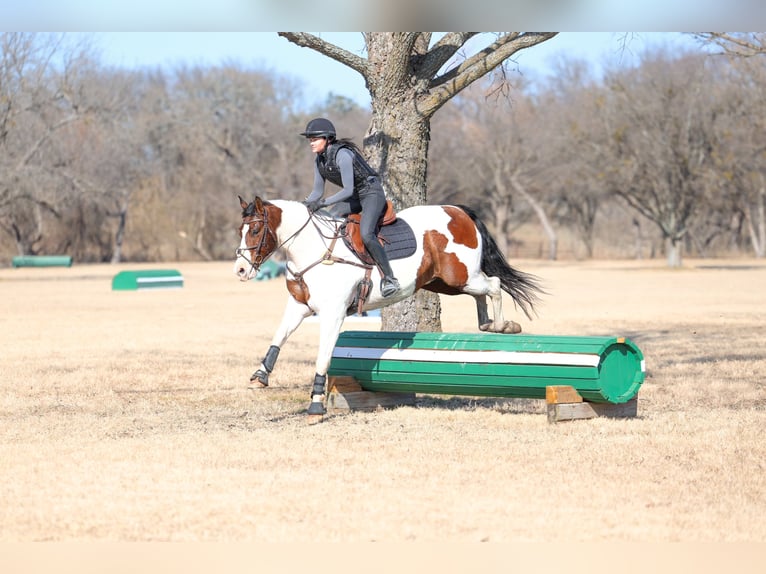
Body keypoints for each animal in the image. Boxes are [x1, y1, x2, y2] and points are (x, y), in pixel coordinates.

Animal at [234, 195, 543, 416]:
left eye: (256, 229)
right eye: (241, 229)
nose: (240, 270)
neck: (314, 251)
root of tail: (458, 211)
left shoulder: (333, 313)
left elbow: (323, 357)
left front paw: (316, 405)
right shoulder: (299, 306)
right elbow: (279, 336)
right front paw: (261, 375)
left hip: (460, 275)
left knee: (494, 284)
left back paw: (504, 326)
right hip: (446, 282)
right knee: (482, 293)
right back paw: (489, 324)